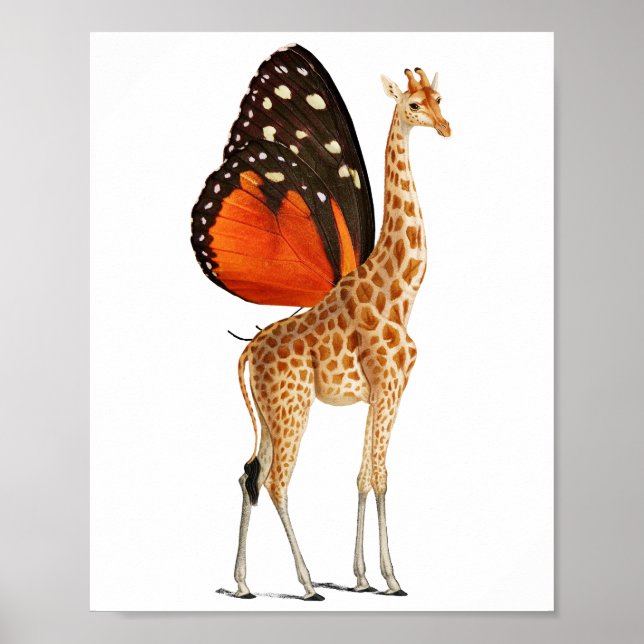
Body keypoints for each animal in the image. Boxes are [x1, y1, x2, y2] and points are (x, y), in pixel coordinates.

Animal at [232, 67, 450, 600]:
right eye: (413, 105)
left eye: (440, 99)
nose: (445, 127)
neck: (400, 293)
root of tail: (249, 352)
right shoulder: (388, 385)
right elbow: (381, 476)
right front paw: (391, 578)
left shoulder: (382, 392)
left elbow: (364, 476)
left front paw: (364, 576)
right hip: (292, 406)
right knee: (276, 482)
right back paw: (308, 584)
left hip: (271, 412)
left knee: (249, 474)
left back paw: (243, 583)